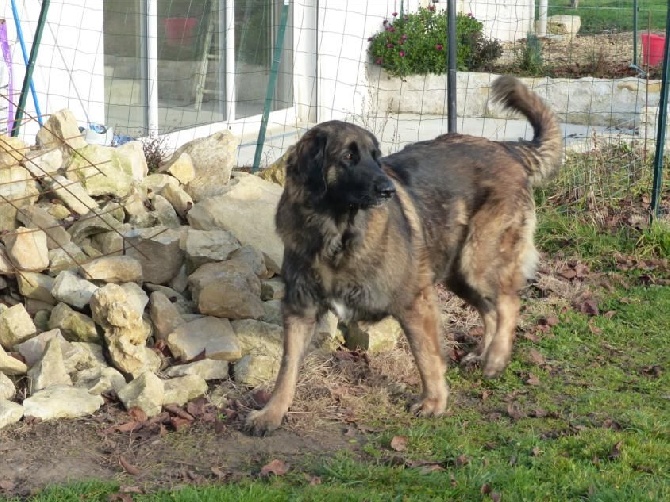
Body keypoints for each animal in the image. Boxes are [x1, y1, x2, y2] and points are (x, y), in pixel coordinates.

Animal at [245, 75, 560, 436]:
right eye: (348, 157)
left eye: (375, 157)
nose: (388, 190)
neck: (336, 236)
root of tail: (505, 147)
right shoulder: (300, 309)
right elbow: (286, 367)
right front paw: (271, 412)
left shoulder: (414, 301)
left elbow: (426, 356)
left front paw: (434, 402)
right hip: (458, 273)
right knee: (490, 309)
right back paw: (485, 355)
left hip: (477, 261)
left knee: (508, 301)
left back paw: (495, 359)